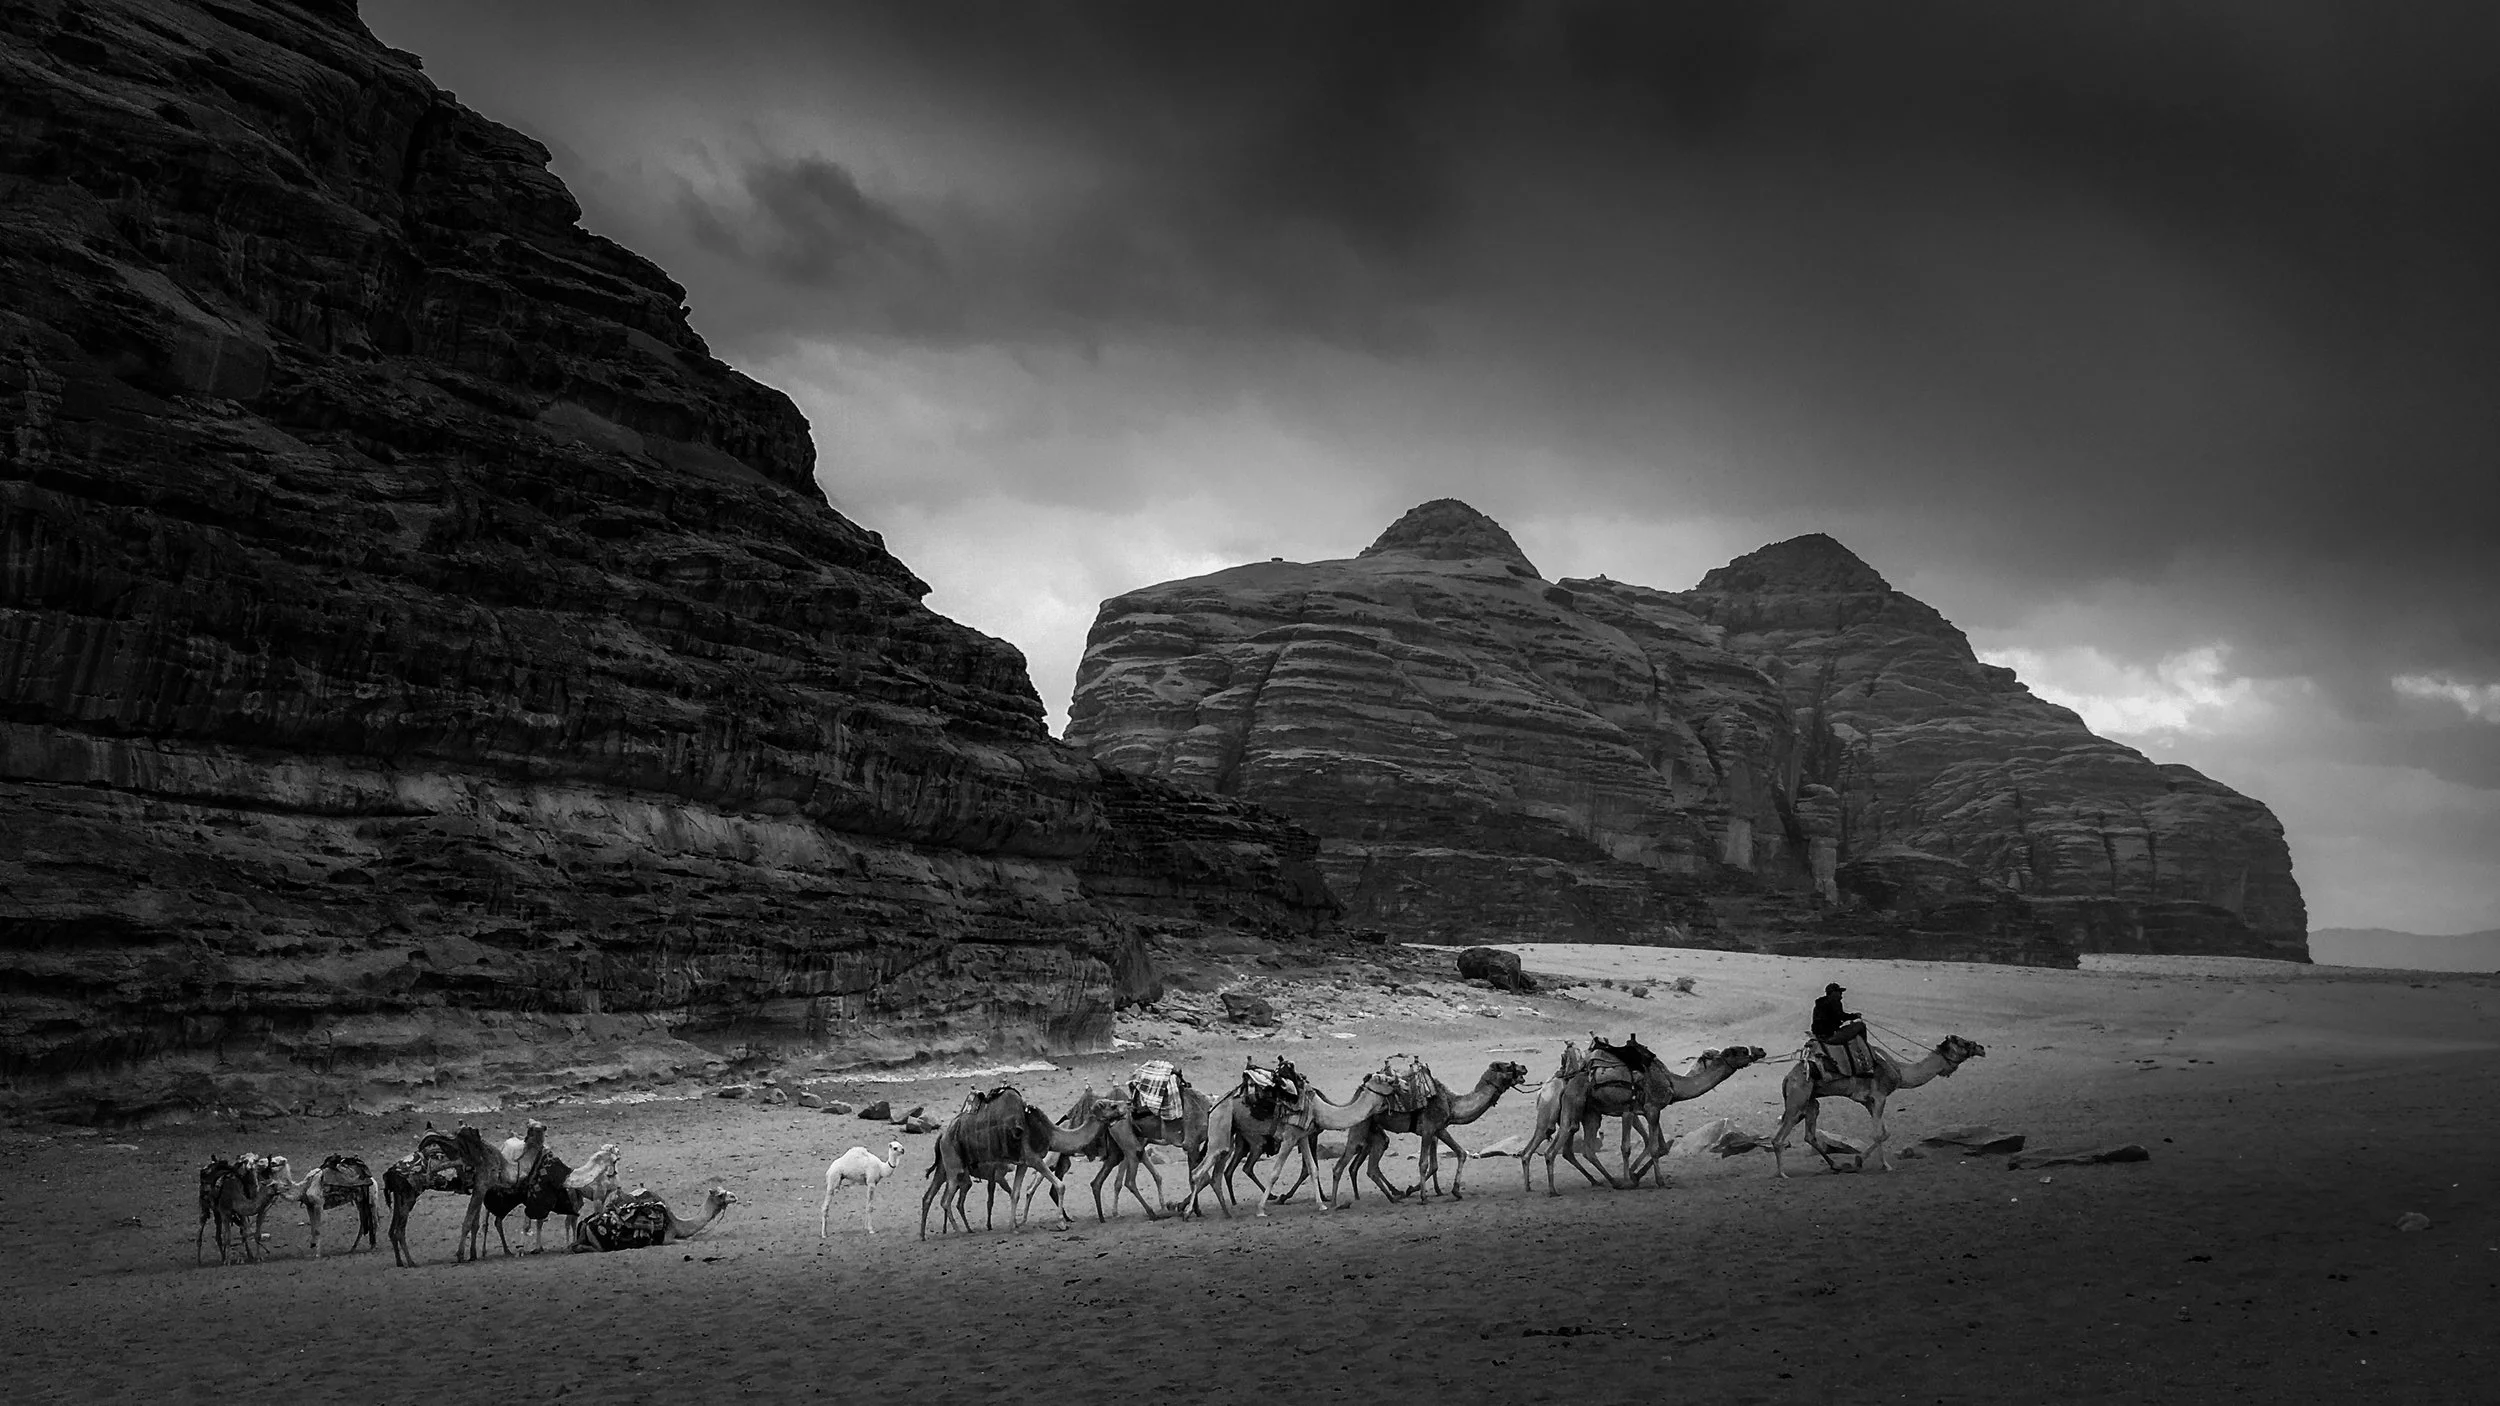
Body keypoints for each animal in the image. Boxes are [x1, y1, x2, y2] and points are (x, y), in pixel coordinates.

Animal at [571, 1187, 737, 1251]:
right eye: (720, 1195)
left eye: (724, 1189)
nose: (734, 1197)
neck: (676, 1224)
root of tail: (585, 1224)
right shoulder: (667, 1238)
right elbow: (689, 1240)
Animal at [1330, 1061, 1531, 1205]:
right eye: (1507, 1066)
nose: (1524, 1067)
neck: (1450, 1102)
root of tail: (1358, 1093)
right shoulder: (1428, 1129)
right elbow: (1424, 1164)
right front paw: (1423, 1197)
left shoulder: (1439, 1129)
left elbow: (1459, 1153)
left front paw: (1456, 1191)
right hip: (1360, 1126)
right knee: (1342, 1165)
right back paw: (1335, 1203)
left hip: (1375, 1130)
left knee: (1372, 1165)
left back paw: (1394, 1196)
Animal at [1527, 1043, 1770, 1195]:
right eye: (1738, 1050)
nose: (1759, 1050)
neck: (1671, 1083)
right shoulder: (1650, 1108)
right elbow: (1648, 1147)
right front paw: (1655, 1180)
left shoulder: (1646, 1109)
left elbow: (1659, 1145)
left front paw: (1634, 1176)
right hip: (1574, 1107)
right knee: (1558, 1145)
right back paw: (1555, 1190)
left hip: (1591, 1112)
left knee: (1583, 1147)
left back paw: (1610, 1181)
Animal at [1770, 1035, 1988, 1176]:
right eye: (1963, 1042)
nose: (1981, 1048)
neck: (1899, 1071)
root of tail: (1787, 1078)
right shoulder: (1880, 1095)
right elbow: (1878, 1134)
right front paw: (1875, 1164)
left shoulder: (1869, 1101)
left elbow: (1884, 1132)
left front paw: (1869, 1162)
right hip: (1798, 1099)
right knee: (1779, 1137)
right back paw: (1783, 1174)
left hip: (1810, 1101)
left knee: (1809, 1133)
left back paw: (1836, 1166)